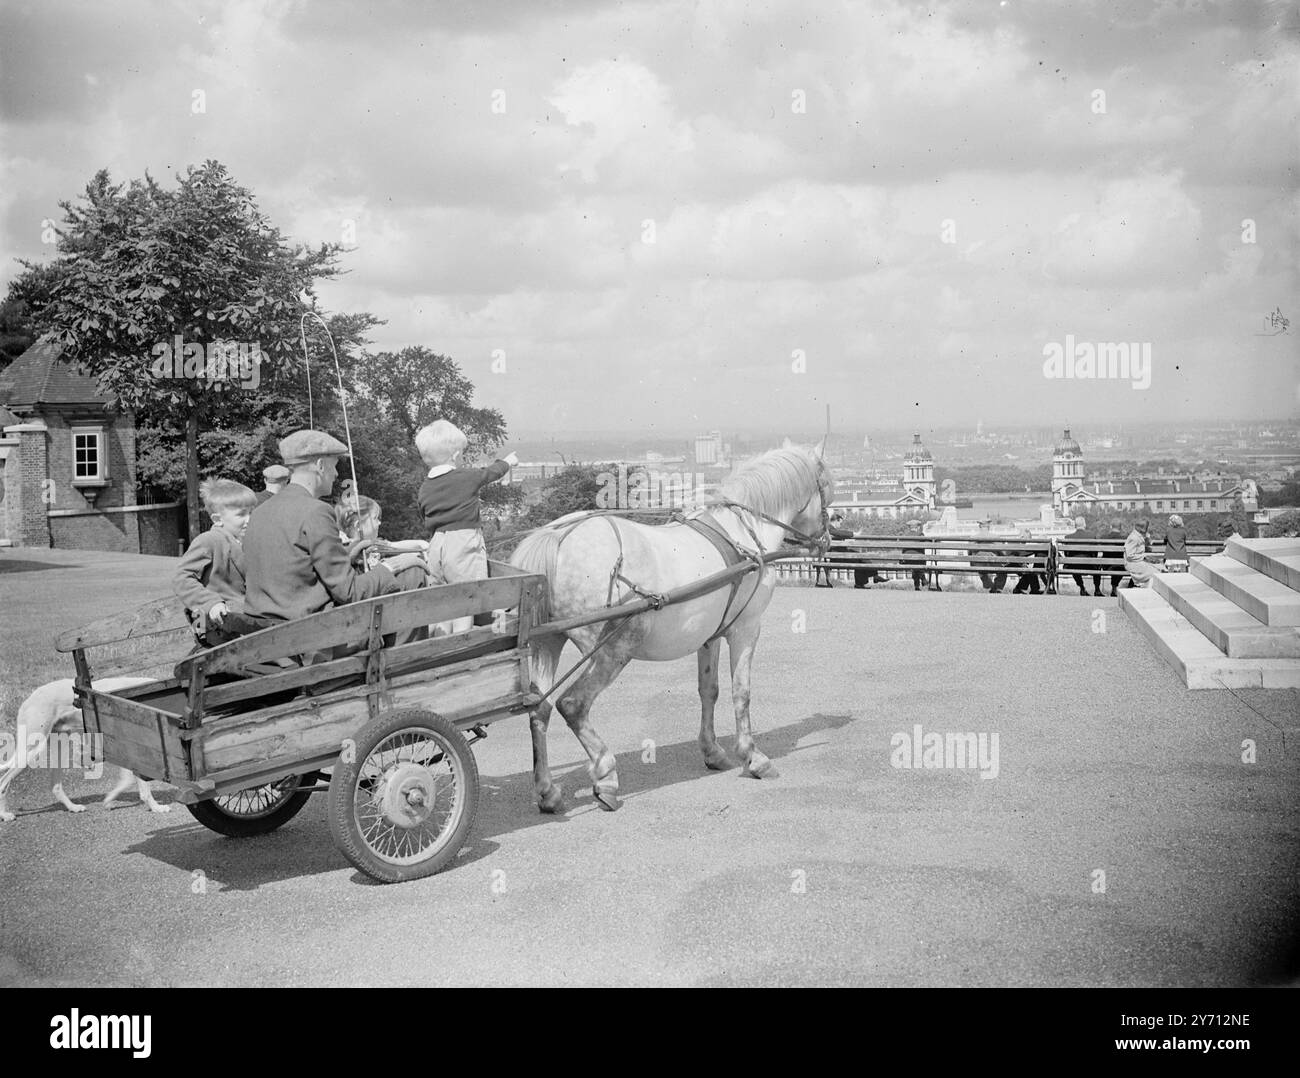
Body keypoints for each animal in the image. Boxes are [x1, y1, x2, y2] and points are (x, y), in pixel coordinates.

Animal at [0, 676, 171, 821]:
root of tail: (28, 699)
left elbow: (131, 782)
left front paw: (110, 800)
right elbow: (138, 785)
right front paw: (156, 807)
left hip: (59, 747)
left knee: (55, 786)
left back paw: (73, 807)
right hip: (32, 750)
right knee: (3, 783)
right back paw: (5, 815)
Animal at [506, 444, 832, 806]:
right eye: (826, 487)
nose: (827, 536)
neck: (743, 531)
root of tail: (556, 537)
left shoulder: (710, 635)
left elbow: (709, 690)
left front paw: (713, 751)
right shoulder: (746, 629)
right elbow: (741, 692)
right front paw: (753, 757)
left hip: (546, 643)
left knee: (540, 709)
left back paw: (547, 790)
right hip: (613, 647)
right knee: (573, 705)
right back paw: (605, 774)